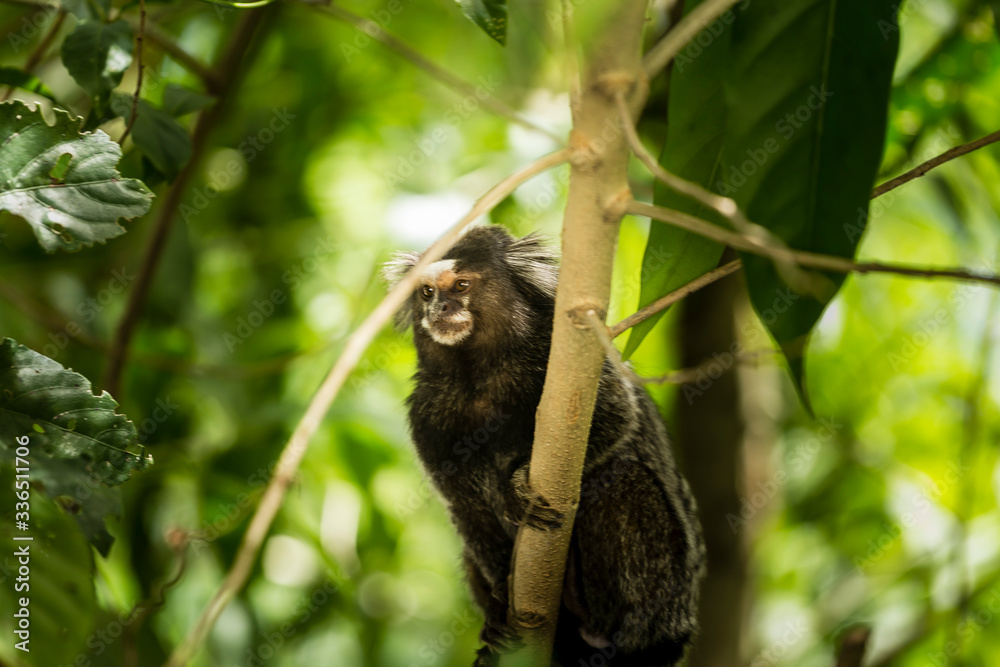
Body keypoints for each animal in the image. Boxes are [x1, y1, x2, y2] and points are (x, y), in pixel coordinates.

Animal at [383, 226, 705, 666]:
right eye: (427, 292)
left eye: (461, 285)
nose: (439, 309)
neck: (478, 377)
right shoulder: (427, 418)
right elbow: (467, 510)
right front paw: (501, 604)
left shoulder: (564, 359)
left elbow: (618, 417)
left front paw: (516, 486)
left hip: (663, 593)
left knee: (622, 479)